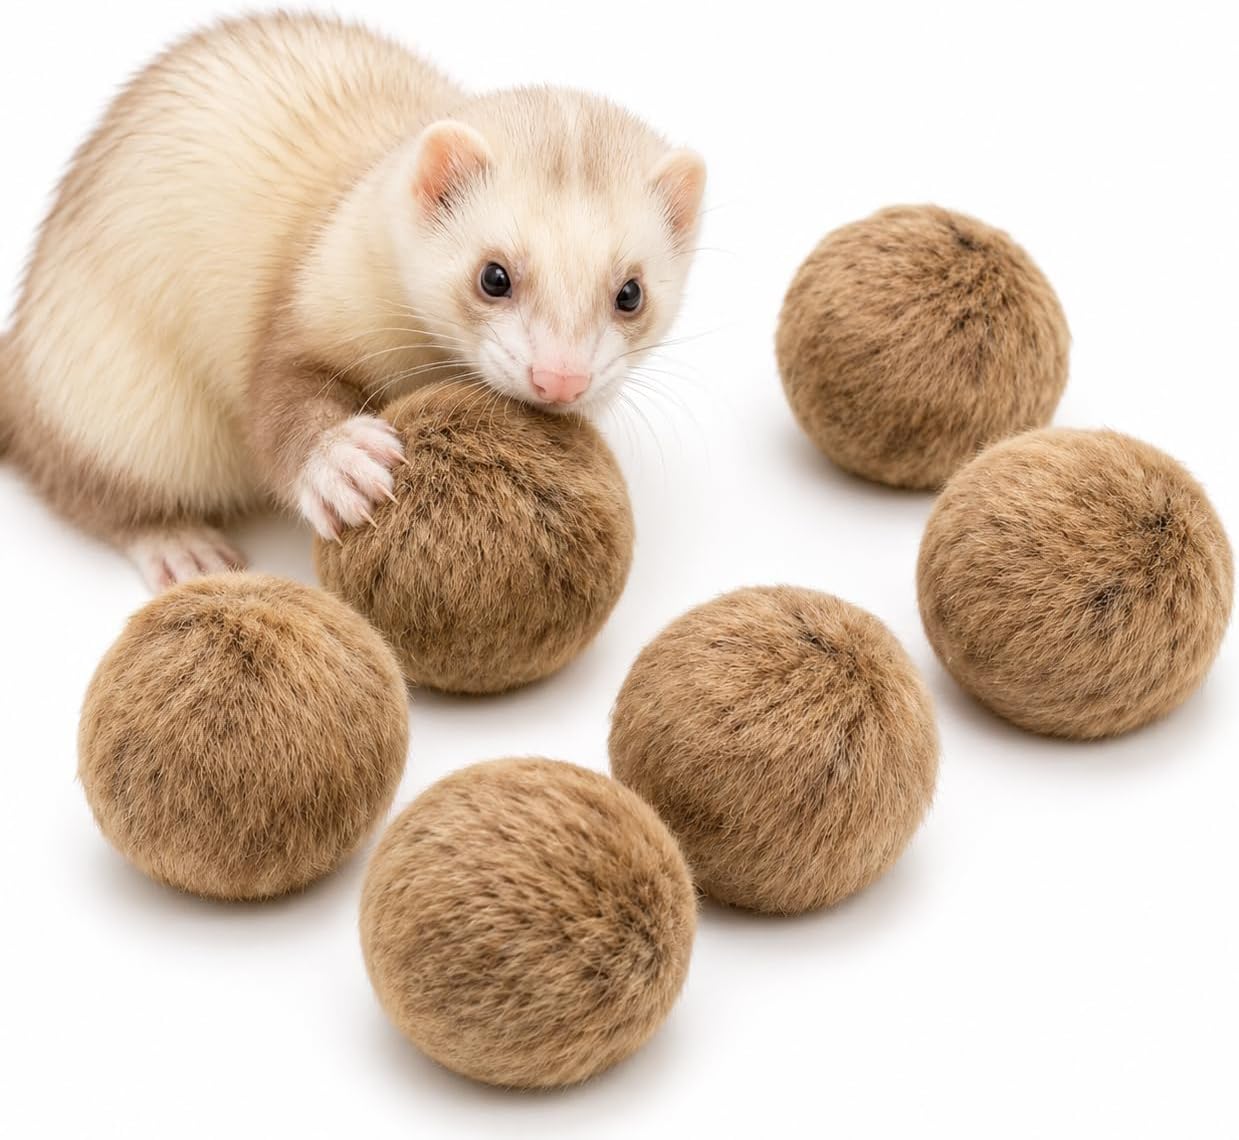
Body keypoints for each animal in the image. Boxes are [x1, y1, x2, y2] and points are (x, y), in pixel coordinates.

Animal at [0, 12, 705, 590]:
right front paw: (339, 463)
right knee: (89, 489)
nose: (560, 377)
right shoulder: (302, 309)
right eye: (494, 275)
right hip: (120, 405)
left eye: (630, 292)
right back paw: (178, 544)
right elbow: (278, 400)